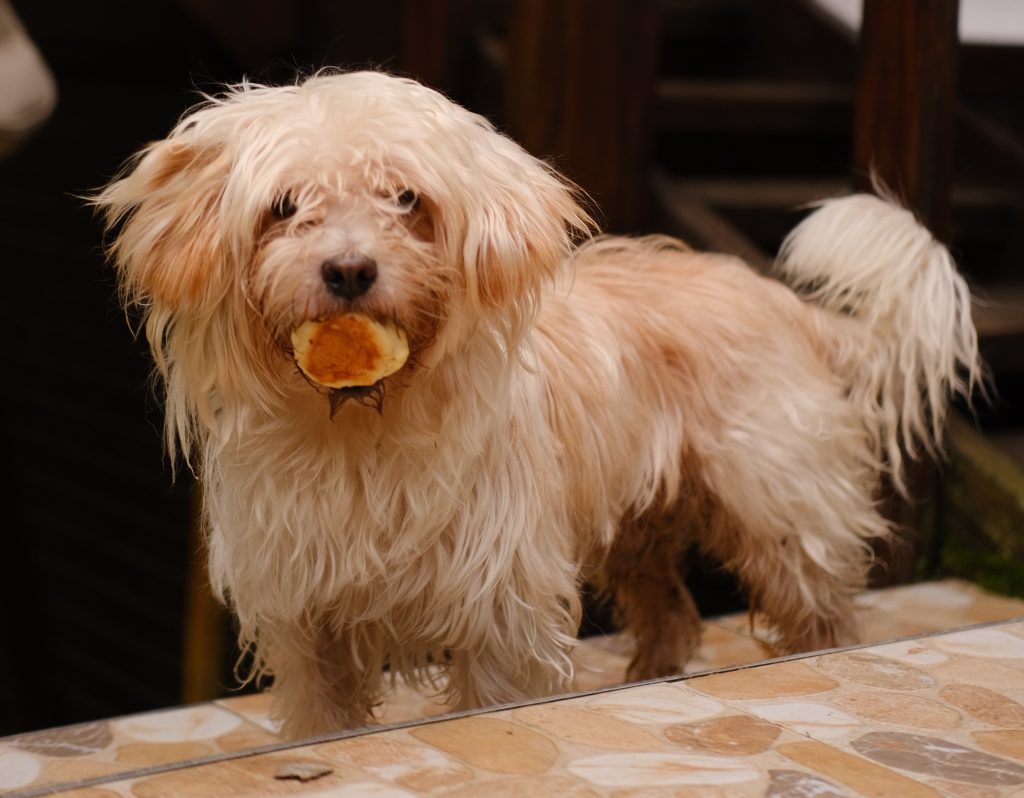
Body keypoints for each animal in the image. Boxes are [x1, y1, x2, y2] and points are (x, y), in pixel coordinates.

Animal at [94, 71, 974, 741]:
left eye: (406, 199)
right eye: (284, 206)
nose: (348, 270)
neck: (365, 432)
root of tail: (787, 304)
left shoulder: (500, 615)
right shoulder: (309, 628)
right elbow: (324, 722)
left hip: (782, 514)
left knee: (820, 615)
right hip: (643, 529)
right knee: (674, 615)